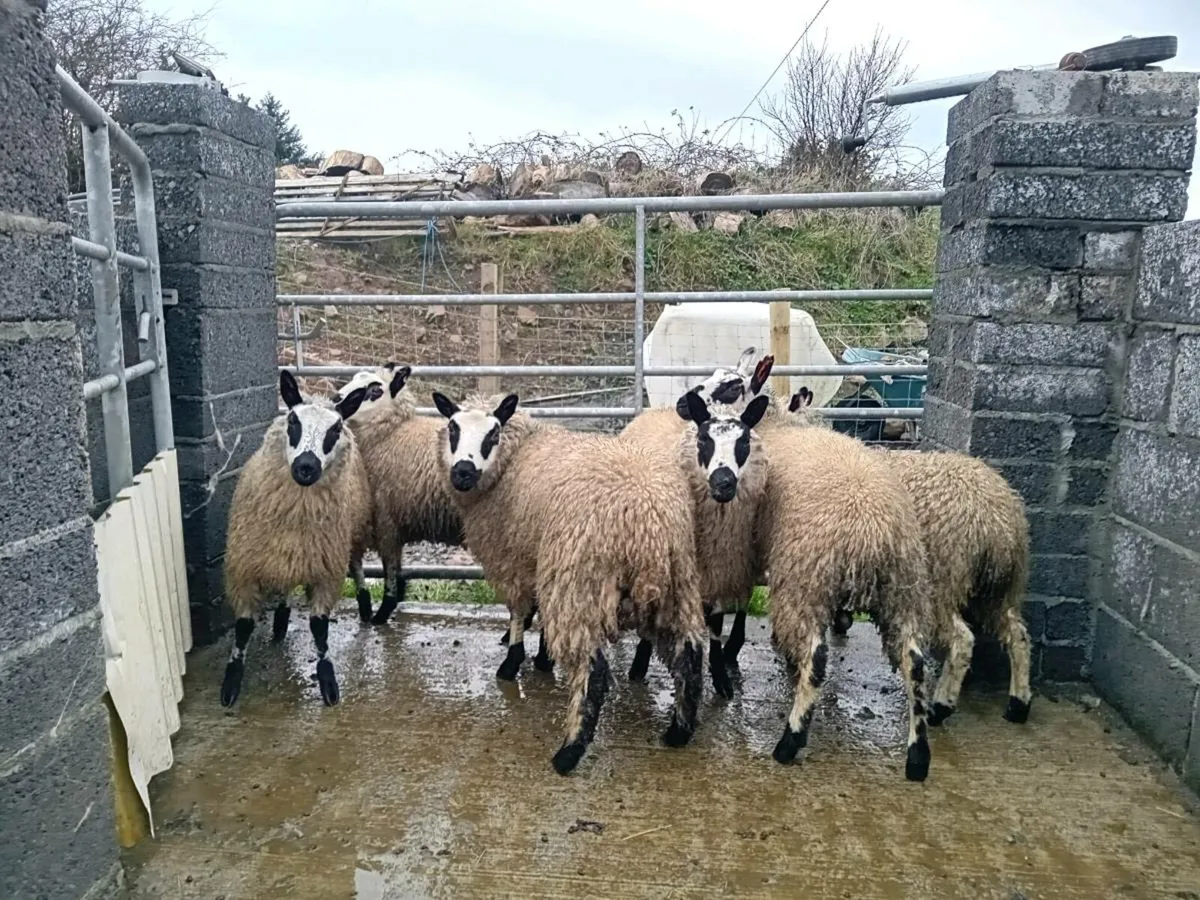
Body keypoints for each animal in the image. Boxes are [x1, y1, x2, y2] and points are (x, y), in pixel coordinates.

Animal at [220, 370, 371, 708]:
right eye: (292, 420)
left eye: (335, 428)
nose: (306, 467)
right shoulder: (243, 569)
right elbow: (243, 627)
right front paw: (231, 683)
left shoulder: (327, 571)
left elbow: (319, 627)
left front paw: (328, 683)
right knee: (284, 587)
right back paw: (280, 620)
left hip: (354, 534)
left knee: (357, 568)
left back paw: (367, 606)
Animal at [430, 390, 709, 775]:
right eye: (453, 429)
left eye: (493, 434)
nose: (463, 472)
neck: (516, 456)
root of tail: (646, 519)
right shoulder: (538, 557)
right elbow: (537, 613)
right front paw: (543, 658)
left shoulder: (514, 558)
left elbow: (519, 610)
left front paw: (513, 663)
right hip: (678, 581)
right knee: (689, 654)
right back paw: (678, 732)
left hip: (579, 578)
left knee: (594, 672)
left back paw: (569, 751)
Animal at [785, 388, 1034, 725]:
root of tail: (997, 519)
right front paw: (840, 622)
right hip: (999, 587)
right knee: (1018, 634)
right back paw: (1018, 704)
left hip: (943, 579)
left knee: (962, 641)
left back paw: (941, 706)